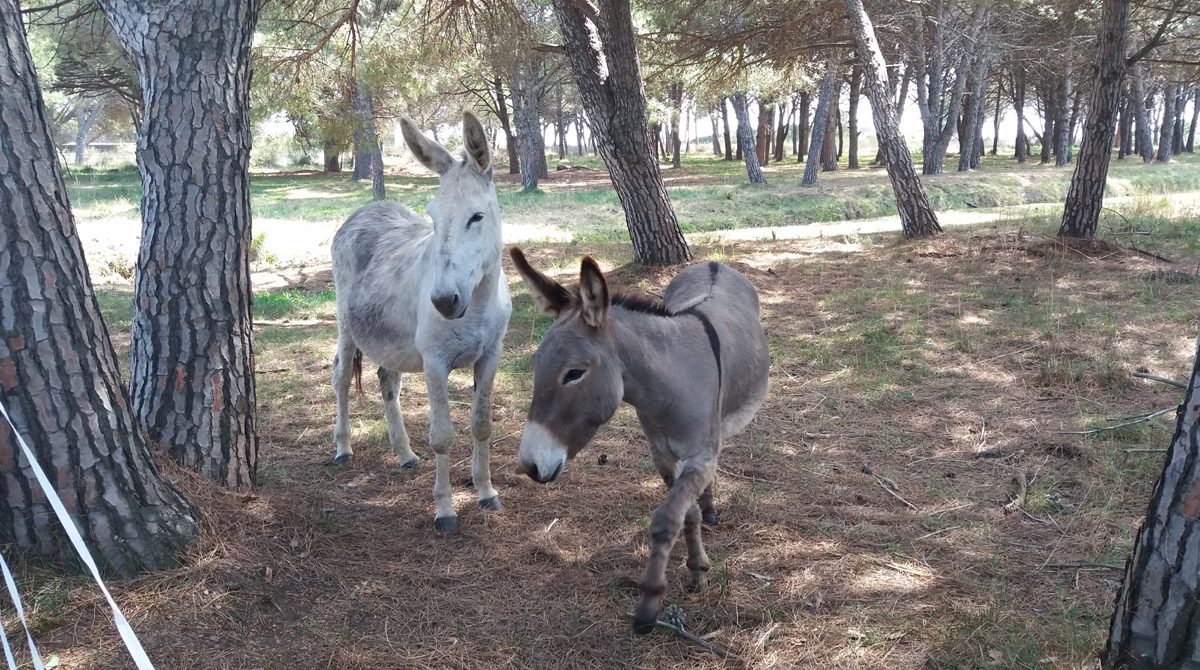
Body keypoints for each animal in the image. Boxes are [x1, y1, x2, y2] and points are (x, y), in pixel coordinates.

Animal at [329, 112, 512, 534]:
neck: (478, 303)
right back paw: (343, 447)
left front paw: (486, 492)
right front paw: (445, 510)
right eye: (432, 218)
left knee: (386, 382)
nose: (444, 301)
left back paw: (405, 454)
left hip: (390, 339)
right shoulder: (434, 363)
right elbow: (442, 436)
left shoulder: (491, 356)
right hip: (346, 326)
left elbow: (482, 424)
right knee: (342, 377)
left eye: (476, 217)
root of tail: (366, 209)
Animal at [508, 248, 770, 633]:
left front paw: (650, 601)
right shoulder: (661, 454)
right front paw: (697, 568)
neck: (669, 384)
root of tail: (714, 263)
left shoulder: (700, 456)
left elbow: (667, 519)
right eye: (536, 364)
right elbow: (685, 514)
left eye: (574, 373)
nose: (530, 465)